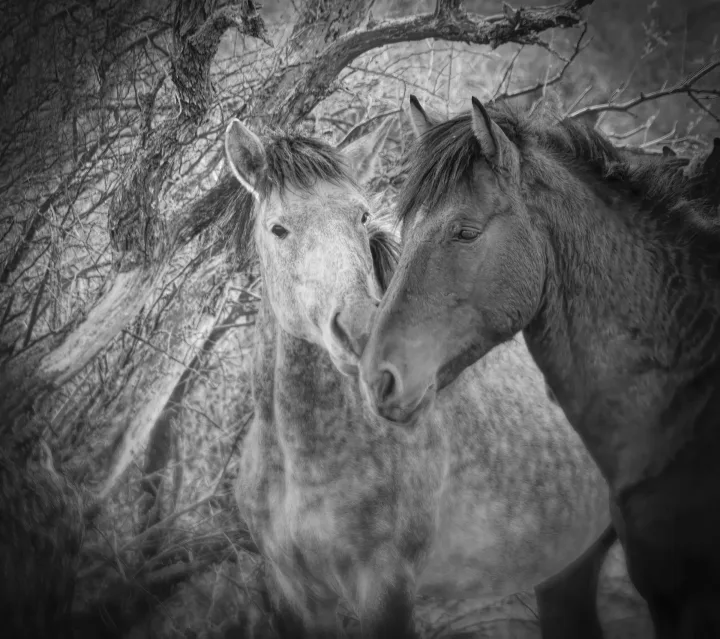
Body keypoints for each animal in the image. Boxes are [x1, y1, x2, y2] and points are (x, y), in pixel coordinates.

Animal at [216, 115, 615, 639]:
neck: (299, 455)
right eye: (278, 229)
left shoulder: (385, 587)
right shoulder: (291, 591)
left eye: (363, 217)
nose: (361, 328)